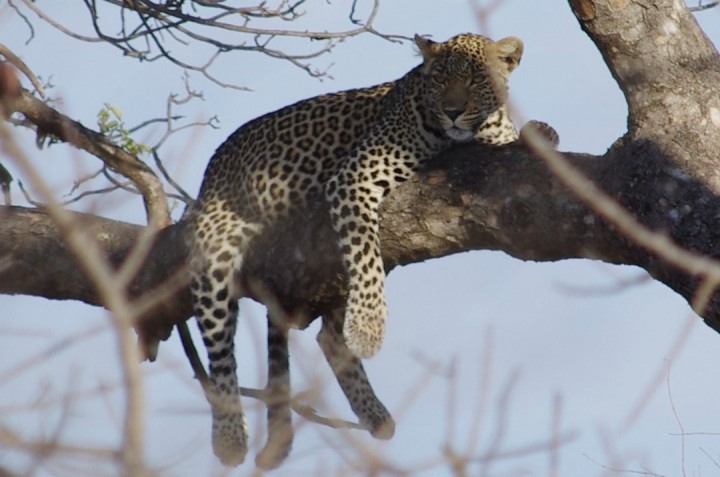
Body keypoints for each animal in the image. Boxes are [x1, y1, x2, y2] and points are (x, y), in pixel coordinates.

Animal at [189, 32, 524, 467]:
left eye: (476, 79)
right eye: (439, 80)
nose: (452, 111)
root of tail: (213, 167)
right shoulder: (354, 176)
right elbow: (365, 255)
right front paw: (368, 328)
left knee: (328, 338)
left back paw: (376, 415)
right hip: (215, 245)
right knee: (219, 349)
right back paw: (229, 438)